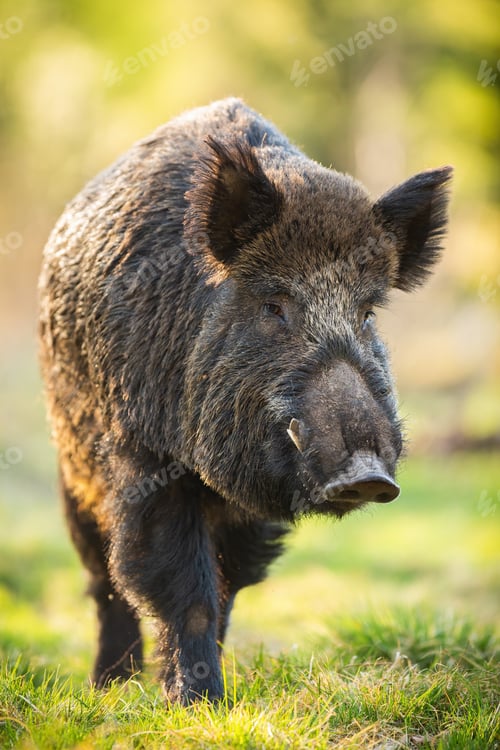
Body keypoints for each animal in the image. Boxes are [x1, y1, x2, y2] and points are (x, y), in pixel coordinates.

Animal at [38, 97, 452, 704]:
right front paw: (197, 705)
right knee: (103, 579)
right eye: (274, 306)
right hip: (73, 469)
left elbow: (228, 587)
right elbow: (181, 588)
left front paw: (209, 697)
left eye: (367, 312)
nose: (368, 474)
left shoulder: (251, 509)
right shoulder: (146, 460)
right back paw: (108, 689)